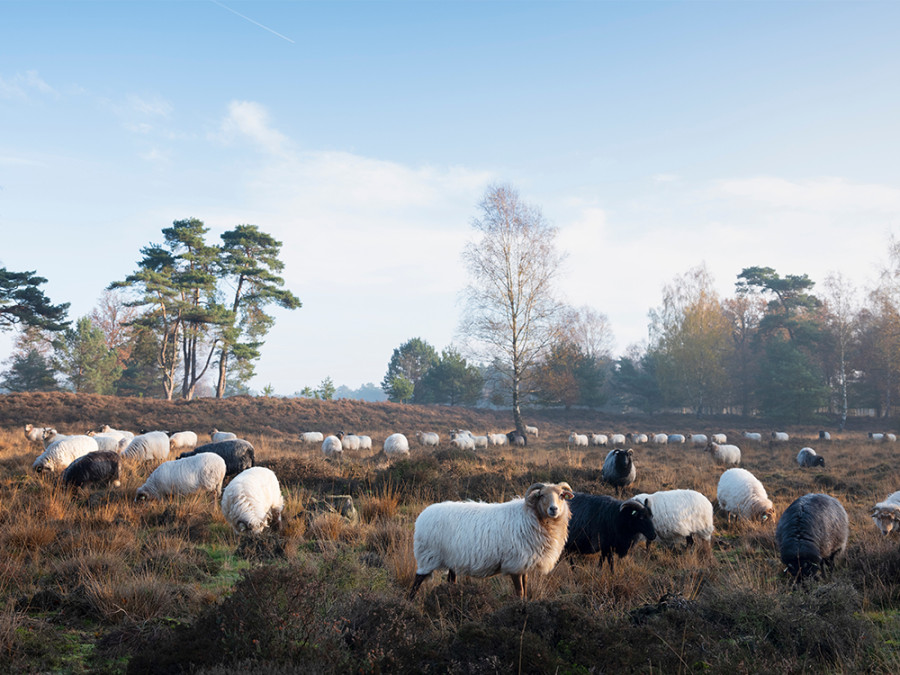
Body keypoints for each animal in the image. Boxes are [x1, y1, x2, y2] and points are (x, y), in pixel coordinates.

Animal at [410, 484, 572, 600]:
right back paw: (410, 602)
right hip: (428, 556)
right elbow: (519, 592)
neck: (531, 516)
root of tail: (423, 516)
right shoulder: (514, 563)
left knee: (451, 580)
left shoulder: (523, 564)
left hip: (452, 559)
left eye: (561, 496)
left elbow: (525, 589)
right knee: (417, 582)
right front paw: (520, 608)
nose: (553, 509)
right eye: (542, 495)